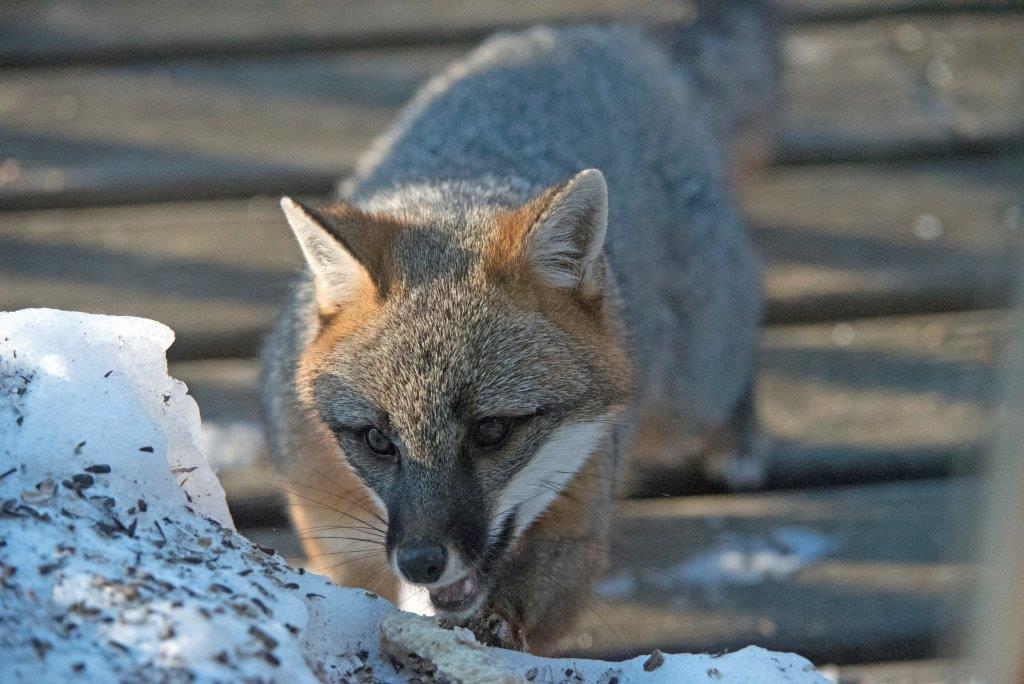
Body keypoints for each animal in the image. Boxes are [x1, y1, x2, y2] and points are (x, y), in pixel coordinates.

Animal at [261, 12, 773, 653]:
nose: (421, 563)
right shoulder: (330, 526)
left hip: (689, 391)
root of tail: (600, 34)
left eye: (492, 432)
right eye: (377, 440)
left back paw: (740, 436)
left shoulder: (578, 528)